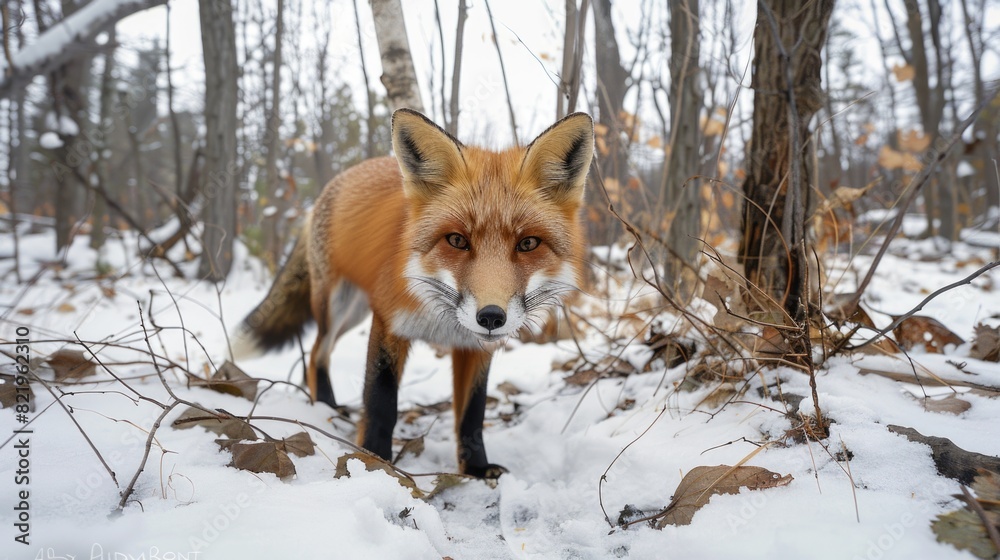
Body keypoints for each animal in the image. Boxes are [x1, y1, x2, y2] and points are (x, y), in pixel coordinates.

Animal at [234, 108, 594, 478]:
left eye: (528, 244)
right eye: (457, 240)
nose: (492, 316)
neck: (441, 319)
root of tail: (336, 181)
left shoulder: (474, 348)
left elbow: (472, 415)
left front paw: (476, 469)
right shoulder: (388, 323)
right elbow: (381, 404)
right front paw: (376, 462)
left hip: (353, 313)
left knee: (319, 352)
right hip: (336, 307)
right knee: (317, 352)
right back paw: (326, 408)